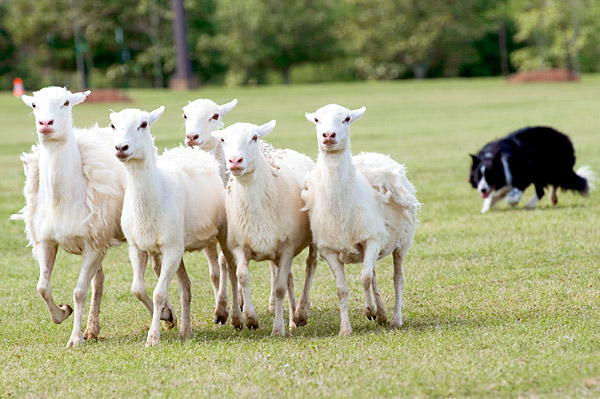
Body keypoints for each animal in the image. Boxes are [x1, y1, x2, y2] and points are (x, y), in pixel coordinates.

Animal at [13, 87, 125, 346]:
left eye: (66, 102)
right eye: (34, 105)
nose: (46, 123)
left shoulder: (93, 245)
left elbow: (79, 291)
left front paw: (74, 338)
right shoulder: (47, 241)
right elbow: (42, 286)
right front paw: (62, 313)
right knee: (99, 281)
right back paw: (92, 329)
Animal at [112, 107, 237, 346]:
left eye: (144, 124)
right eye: (113, 125)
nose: (121, 148)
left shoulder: (171, 249)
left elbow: (159, 292)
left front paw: (153, 337)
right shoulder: (138, 246)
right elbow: (138, 289)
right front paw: (167, 315)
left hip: (223, 232)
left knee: (231, 268)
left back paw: (234, 314)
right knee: (187, 285)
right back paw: (186, 329)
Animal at [213, 121, 322, 334]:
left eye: (254, 137)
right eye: (223, 139)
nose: (235, 160)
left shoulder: (287, 248)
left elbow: (279, 288)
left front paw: (278, 329)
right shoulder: (240, 246)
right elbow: (242, 276)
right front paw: (251, 318)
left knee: (310, 265)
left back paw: (301, 313)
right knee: (289, 277)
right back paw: (293, 319)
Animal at [302, 104, 420, 336]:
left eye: (347, 119)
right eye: (317, 120)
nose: (328, 135)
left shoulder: (371, 240)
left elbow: (364, 278)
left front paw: (370, 310)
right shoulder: (329, 249)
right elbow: (342, 289)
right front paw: (345, 329)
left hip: (402, 243)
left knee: (397, 278)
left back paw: (394, 318)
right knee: (373, 273)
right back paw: (381, 313)